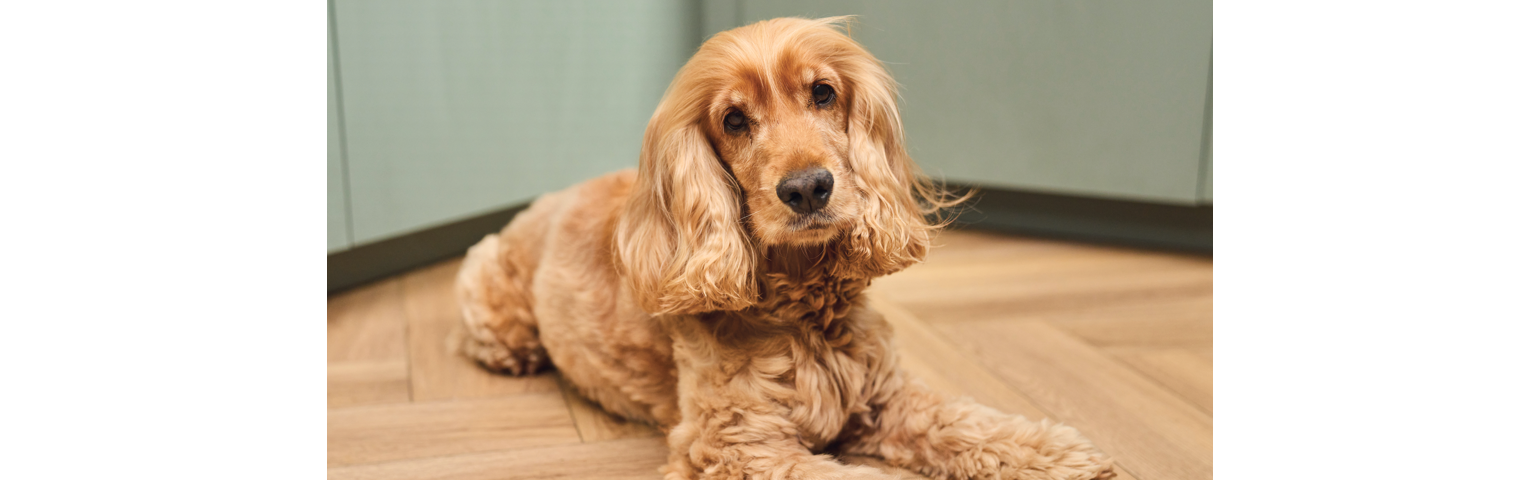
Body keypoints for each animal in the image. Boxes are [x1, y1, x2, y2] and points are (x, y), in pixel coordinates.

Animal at [449, 15, 1114, 480]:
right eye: (734, 121)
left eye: (823, 93)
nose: (807, 188)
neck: (804, 309)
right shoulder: (736, 445)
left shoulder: (885, 399)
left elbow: (970, 424)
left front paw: (1061, 454)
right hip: (492, 298)